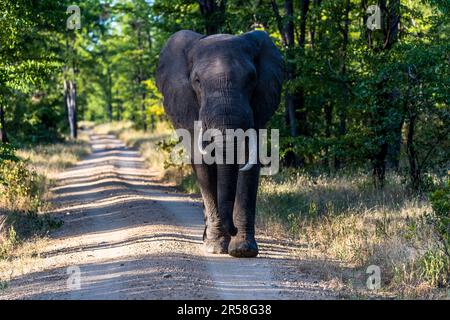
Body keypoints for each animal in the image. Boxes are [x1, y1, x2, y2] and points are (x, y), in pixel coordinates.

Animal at [156, 28, 284, 256]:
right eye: (197, 81)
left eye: (252, 78)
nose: (232, 228)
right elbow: (203, 163)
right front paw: (216, 247)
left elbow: (250, 161)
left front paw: (242, 250)